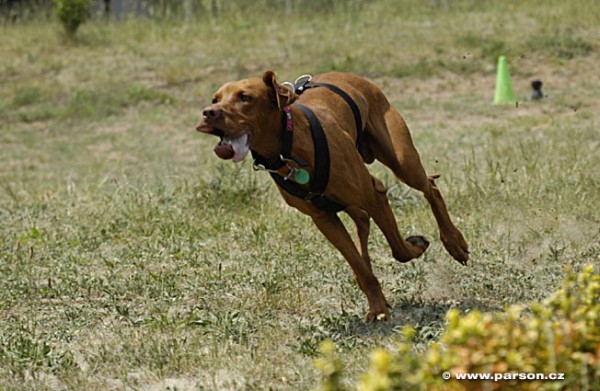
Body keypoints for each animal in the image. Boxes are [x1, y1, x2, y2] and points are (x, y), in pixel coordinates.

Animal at [197, 71, 468, 322]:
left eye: (245, 97)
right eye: (215, 99)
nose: (208, 113)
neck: (289, 147)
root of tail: (352, 75)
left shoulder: (374, 197)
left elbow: (399, 250)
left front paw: (416, 247)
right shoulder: (324, 219)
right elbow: (361, 267)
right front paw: (378, 308)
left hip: (402, 162)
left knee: (429, 187)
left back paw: (454, 242)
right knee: (363, 221)